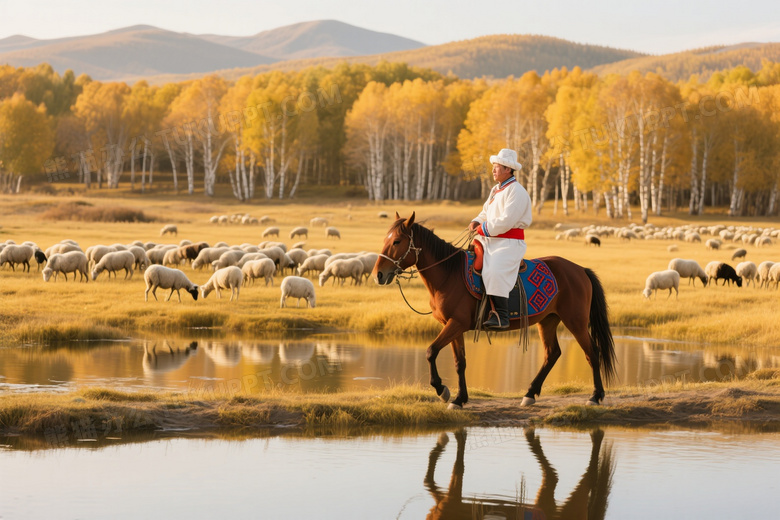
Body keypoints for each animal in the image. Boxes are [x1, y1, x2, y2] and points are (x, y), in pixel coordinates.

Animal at [372, 212, 616, 408]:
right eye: (385, 239)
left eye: (397, 241)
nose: (378, 275)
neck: (449, 275)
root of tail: (580, 270)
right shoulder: (453, 326)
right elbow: (460, 362)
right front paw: (460, 398)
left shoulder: (456, 324)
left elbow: (431, 351)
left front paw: (443, 391)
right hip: (548, 321)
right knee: (552, 354)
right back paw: (530, 394)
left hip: (575, 321)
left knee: (592, 352)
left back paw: (595, 396)